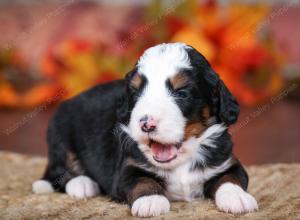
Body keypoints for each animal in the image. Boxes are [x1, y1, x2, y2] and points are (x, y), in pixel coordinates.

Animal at [32, 42, 258, 217]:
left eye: (181, 92)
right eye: (135, 92)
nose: (146, 124)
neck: (181, 161)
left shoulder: (226, 161)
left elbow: (231, 178)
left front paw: (238, 197)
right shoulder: (127, 168)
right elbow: (142, 180)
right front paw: (151, 201)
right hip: (60, 136)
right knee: (58, 172)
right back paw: (82, 184)